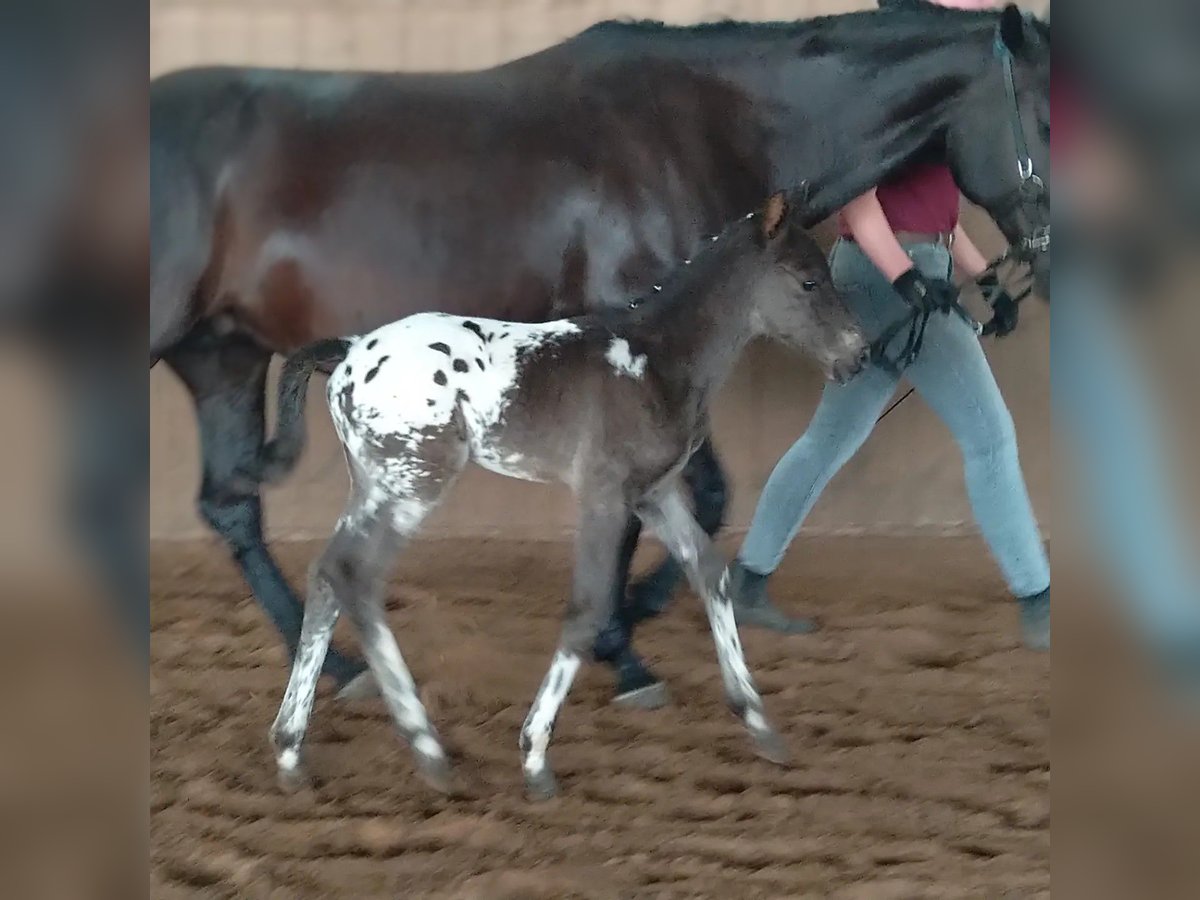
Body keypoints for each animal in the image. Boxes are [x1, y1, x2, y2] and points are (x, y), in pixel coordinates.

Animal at [150, 3, 1051, 700]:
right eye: (1045, 118)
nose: (1047, 257)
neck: (699, 129)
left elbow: (690, 499)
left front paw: (628, 628)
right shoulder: (645, 345)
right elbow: (680, 497)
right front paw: (627, 643)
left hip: (223, 356)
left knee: (231, 506)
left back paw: (340, 669)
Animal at [258, 192, 868, 801]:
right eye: (809, 281)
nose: (859, 355)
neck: (653, 359)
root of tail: (350, 352)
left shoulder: (653, 493)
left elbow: (709, 572)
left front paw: (760, 724)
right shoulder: (604, 493)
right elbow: (588, 606)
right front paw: (534, 757)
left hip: (375, 485)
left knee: (326, 577)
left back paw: (291, 751)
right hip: (415, 484)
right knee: (355, 577)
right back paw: (426, 749)